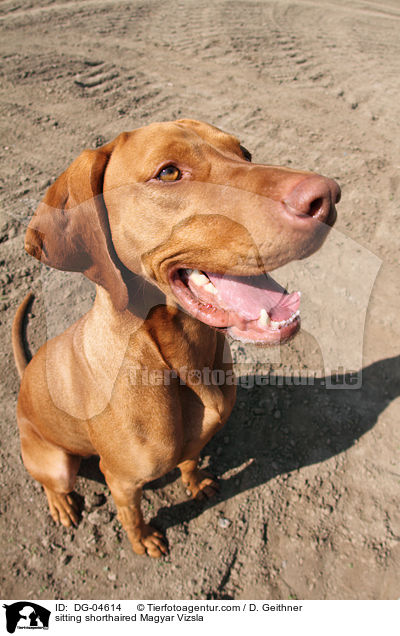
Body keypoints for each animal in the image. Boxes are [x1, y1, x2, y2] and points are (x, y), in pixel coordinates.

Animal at [12, 119, 340, 556]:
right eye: (168, 172)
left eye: (245, 153)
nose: (328, 197)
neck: (183, 359)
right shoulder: (122, 480)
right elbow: (131, 515)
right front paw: (144, 540)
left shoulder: (197, 440)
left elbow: (191, 460)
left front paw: (196, 482)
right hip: (56, 462)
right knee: (53, 483)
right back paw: (62, 504)